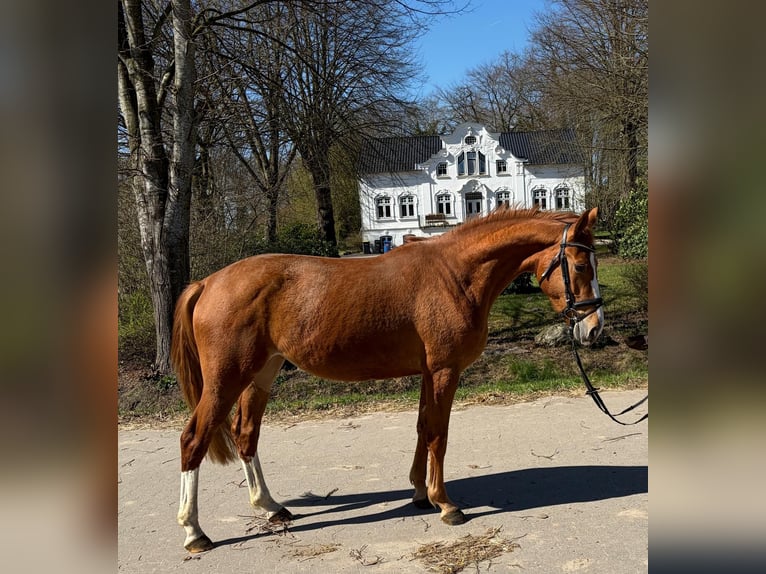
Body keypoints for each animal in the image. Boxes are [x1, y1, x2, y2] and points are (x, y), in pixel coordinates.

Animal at [171, 207, 604, 552]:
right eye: (581, 265)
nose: (595, 328)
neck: (455, 275)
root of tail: (207, 283)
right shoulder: (445, 371)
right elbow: (438, 434)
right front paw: (445, 503)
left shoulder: (429, 372)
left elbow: (422, 428)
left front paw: (420, 493)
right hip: (227, 379)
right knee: (193, 439)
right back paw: (194, 532)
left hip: (261, 373)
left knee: (246, 435)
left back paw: (271, 507)